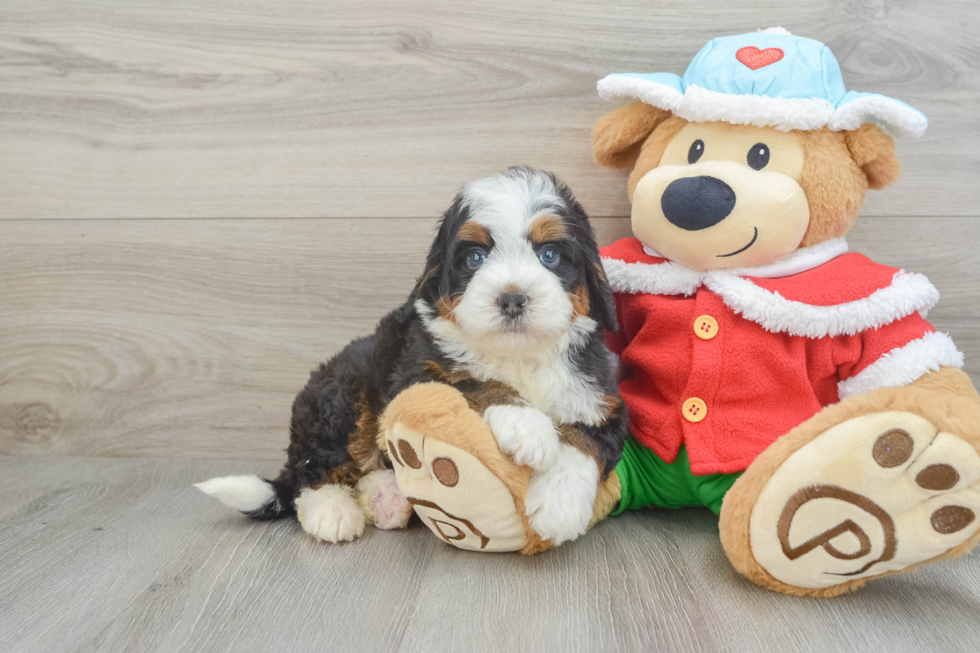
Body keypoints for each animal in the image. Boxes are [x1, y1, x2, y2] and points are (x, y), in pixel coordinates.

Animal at [197, 166, 628, 544]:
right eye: (474, 258)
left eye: (549, 255)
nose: (512, 298)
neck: (518, 357)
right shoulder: (414, 374)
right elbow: (472, 382)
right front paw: (528, 426)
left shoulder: (603, 397)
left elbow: (583, 440)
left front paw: (558, 507)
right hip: (342, 391)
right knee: (314, 470)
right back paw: (333, 512)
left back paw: (386, 497)